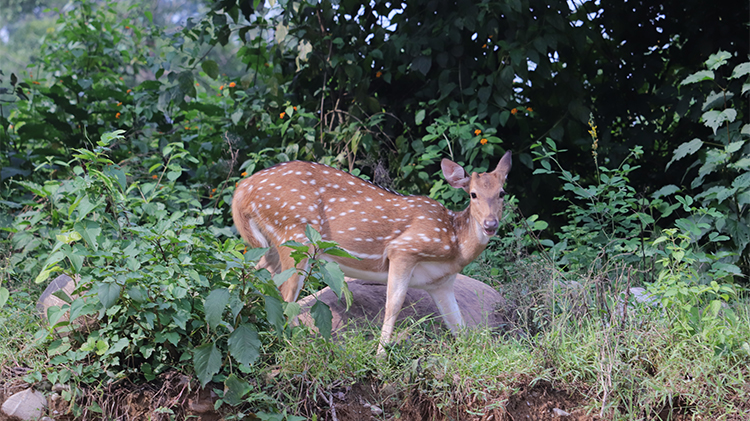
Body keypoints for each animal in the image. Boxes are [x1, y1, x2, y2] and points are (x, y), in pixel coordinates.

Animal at [232, 153, 516, 352]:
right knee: (284, 295)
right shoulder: (404, 249)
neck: (453, 243)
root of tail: (241, 190)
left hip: (271, 244)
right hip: (295, 235)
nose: (490, 224)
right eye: (473, 194)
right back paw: (297, 345)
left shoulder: (441, 283)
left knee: (254, 277)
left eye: (502, 192)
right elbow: (394, 304)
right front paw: (380, 355)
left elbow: (459, 327)